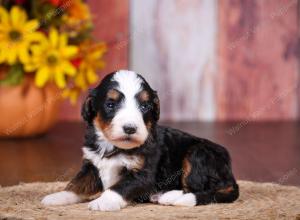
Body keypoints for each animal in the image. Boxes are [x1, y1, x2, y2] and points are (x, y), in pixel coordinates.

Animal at [42, 70, 239, 211]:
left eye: (145, 106)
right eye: (110, 104)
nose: (130, 128)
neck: (111, 146)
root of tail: (230, 175)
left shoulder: (143, 174)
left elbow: (120, 186)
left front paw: (103, 201)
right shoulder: (91, 165)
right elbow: (77, 183)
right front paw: (57, 196)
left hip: (197, 153)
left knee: (199, 188)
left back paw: (169, 196)